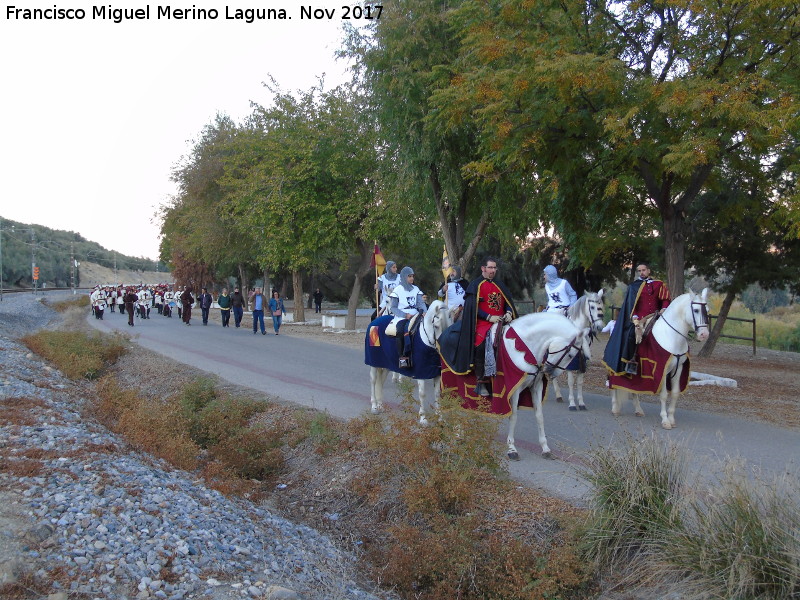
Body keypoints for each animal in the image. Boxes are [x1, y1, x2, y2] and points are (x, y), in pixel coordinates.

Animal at [504, 314, 592, 460]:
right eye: (570, 355)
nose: (551, 372)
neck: (523, 349)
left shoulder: (536, 386)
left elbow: (539, 415)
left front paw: (545, 448)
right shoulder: (514, 389)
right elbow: (513, 415)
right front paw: (511, 448)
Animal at [608, 288, 708, 428]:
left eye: (707, 310)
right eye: (696, 310)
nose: (704, 334)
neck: (671, 336)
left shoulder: (678, 368)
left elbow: (675, 393)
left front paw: (671, 419)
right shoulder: (662, 369)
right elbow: (664, 395)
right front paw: (665, 420)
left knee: (633, 389)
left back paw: (638, 410)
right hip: (614, 367)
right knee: (612, 383)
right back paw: (615, 407)